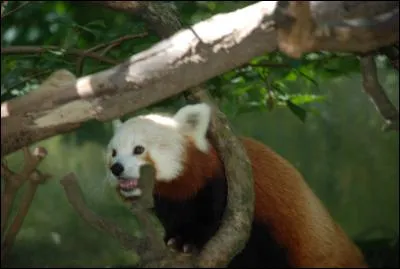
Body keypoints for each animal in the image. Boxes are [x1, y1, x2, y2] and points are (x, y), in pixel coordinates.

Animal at [105, 103, 366, 266]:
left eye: (139, 149)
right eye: (114, 152)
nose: (116, 168)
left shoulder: (223, 185)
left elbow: (212, 218)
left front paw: (189, 241)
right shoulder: (171, 202)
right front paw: (175, 239)